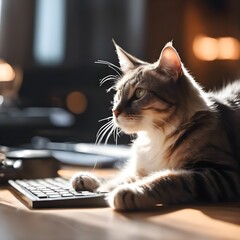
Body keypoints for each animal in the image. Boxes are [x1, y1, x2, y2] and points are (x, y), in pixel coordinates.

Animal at [70, 40, 240, 210]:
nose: (115, 111)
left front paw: (132, 190)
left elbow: (169, 179)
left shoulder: (221, 172)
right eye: (118, 93)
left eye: (139, 93)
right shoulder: (138, 169)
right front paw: (91, 181)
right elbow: (119, 177)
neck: (154, 137)